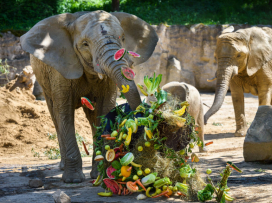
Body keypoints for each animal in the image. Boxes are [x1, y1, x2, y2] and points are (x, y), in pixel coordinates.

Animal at [20, 10, 158, 182]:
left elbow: (104, 110)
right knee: (55, 115)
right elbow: (64, 112)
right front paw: (73, 180)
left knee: (92, 117)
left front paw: (99, 174)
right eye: (85, 44)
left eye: (123, 38)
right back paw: (63, 166)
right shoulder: (60, 69)